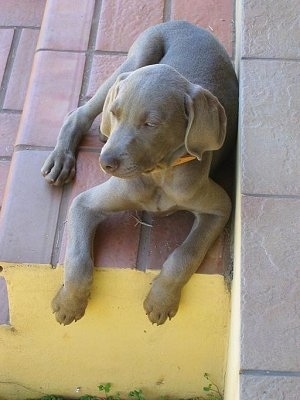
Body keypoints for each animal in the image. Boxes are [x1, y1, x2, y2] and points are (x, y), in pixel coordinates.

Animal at [42, 20, 239, 324]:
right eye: (116, 113)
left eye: (151, 124)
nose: (105, 162)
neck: (157, 175)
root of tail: (184, 23)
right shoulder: (84, 203)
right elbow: (77, 257)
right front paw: (69, 303)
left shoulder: (219, 208)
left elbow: (185, 254)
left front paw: (161, 300)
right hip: (136, 59)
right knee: (79, 113)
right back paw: (61, 159)